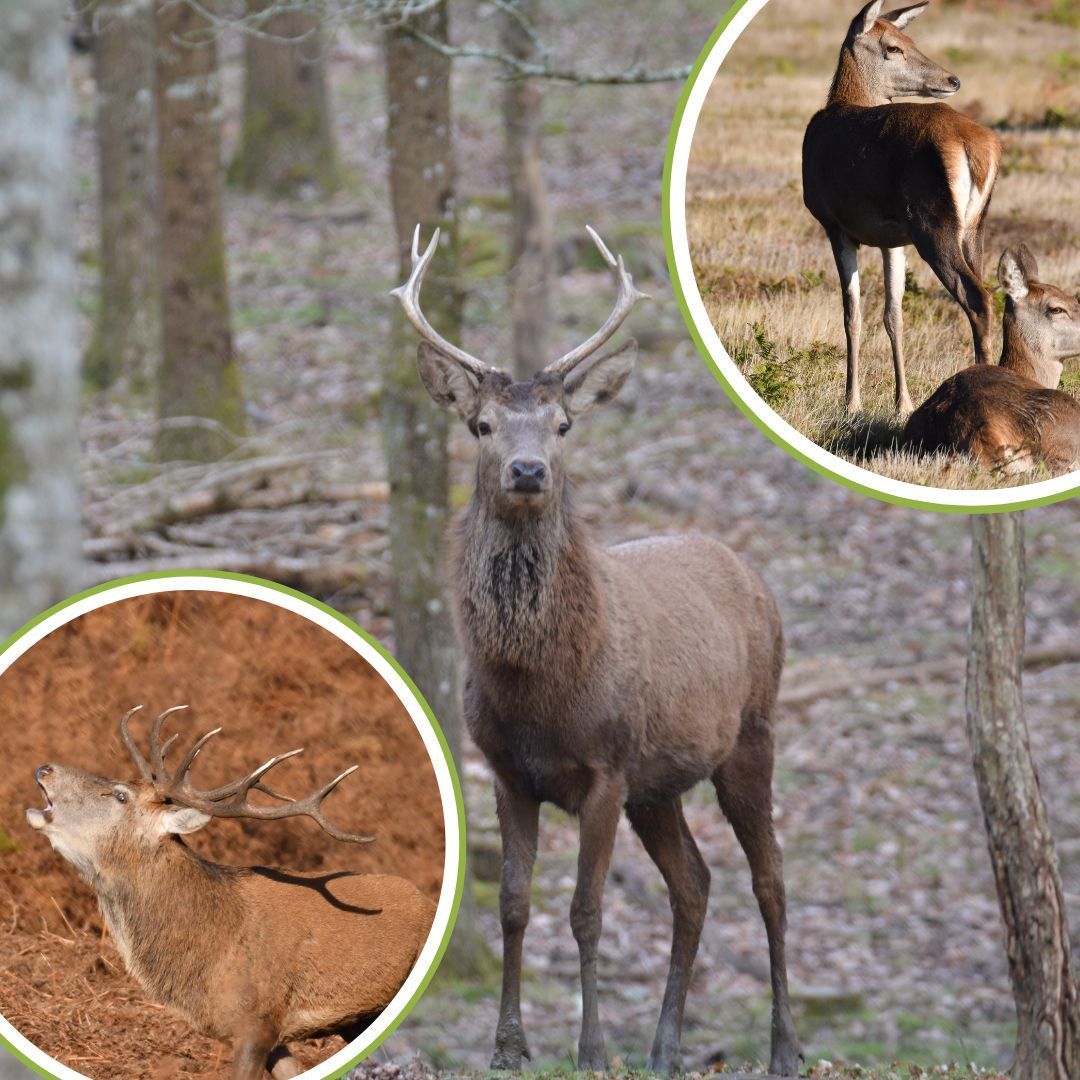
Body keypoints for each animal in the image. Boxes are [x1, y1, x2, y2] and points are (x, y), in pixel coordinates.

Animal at [391, 226, 803, 1075]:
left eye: (563, 426)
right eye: (482, 425)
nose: (526, 471)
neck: (538, 691)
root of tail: (751, 573)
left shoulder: (607, 766)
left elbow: (585, 910)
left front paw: (590, 1047)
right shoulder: (507, 771)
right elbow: (514, 904)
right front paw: (508, 1046)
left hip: (751, 735)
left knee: (769, 879)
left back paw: (785, 1047)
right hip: (661, 785)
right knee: (695, 883)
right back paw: (665, 1047)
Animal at [802, 0, 1003, 415]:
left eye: (911, 41)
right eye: (894, 46)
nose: (952, 80)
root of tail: (978, 146)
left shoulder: (833, 223)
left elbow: (852, 314)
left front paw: (851, 404)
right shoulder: (891, 239)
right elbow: (893, 314)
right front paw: (903, 404)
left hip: (932, 222)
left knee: (977, 297)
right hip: (973, 227)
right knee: (993, 292)